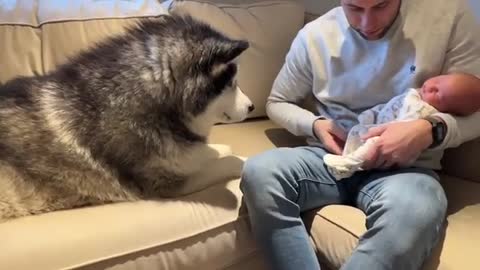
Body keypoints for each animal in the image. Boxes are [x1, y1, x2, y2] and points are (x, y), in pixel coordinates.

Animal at [0, 13, 255, 221]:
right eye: (231, 83)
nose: (252, 107)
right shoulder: (164, 185)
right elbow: (230, 161)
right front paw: (240, 159)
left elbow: (205, 152)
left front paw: (215, 150)